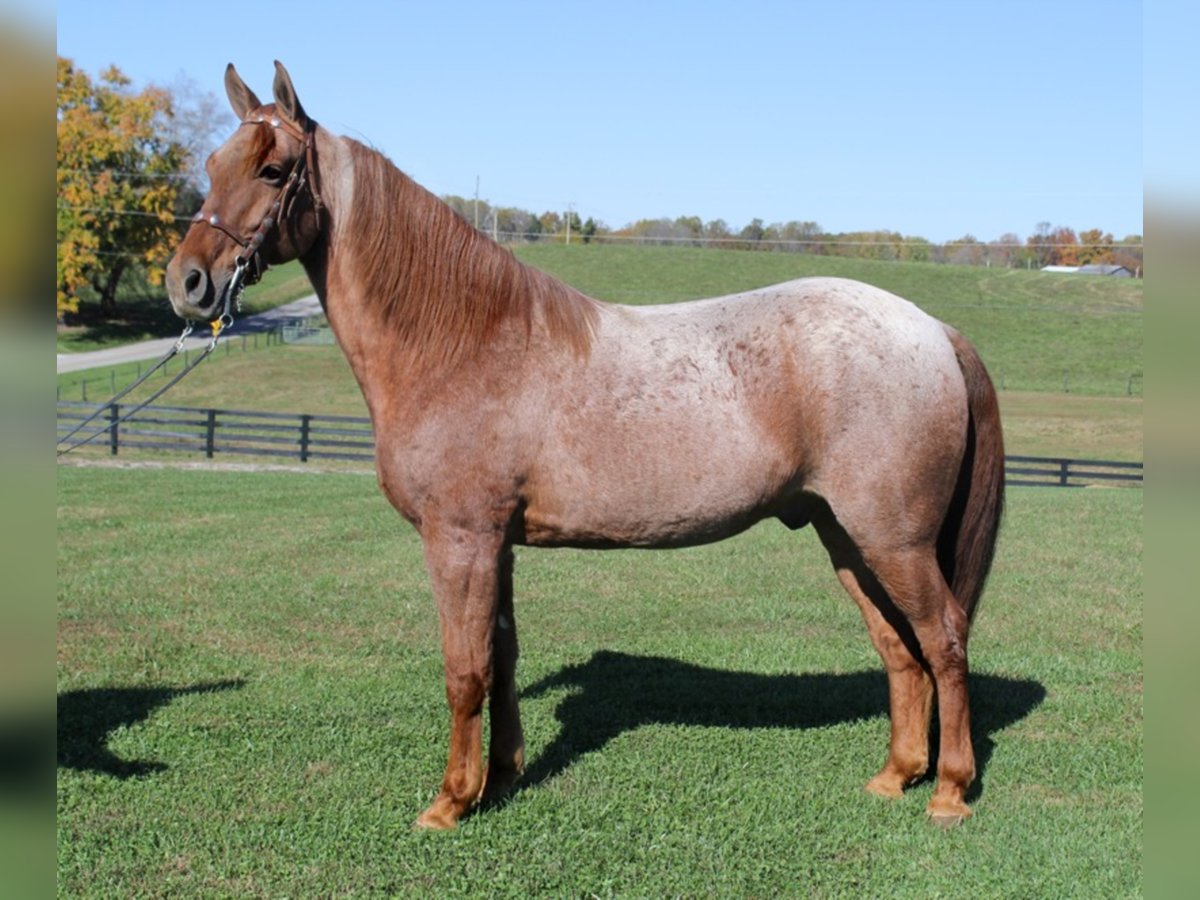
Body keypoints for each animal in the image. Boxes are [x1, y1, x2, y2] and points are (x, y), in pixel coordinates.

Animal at [162, 61, 1003, 830]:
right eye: (212, 167)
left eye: (273, 170)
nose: (188, 283)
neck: (464, 341)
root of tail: (933, 329)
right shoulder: (495, 544)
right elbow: (501, 659)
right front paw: (500, 779)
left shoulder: (459, 540)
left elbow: (463, 669)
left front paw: (448, 802)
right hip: (847, 536)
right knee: (899, 648)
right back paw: (894, 777)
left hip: (892, 539)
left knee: (945, 639)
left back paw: (949, 792)